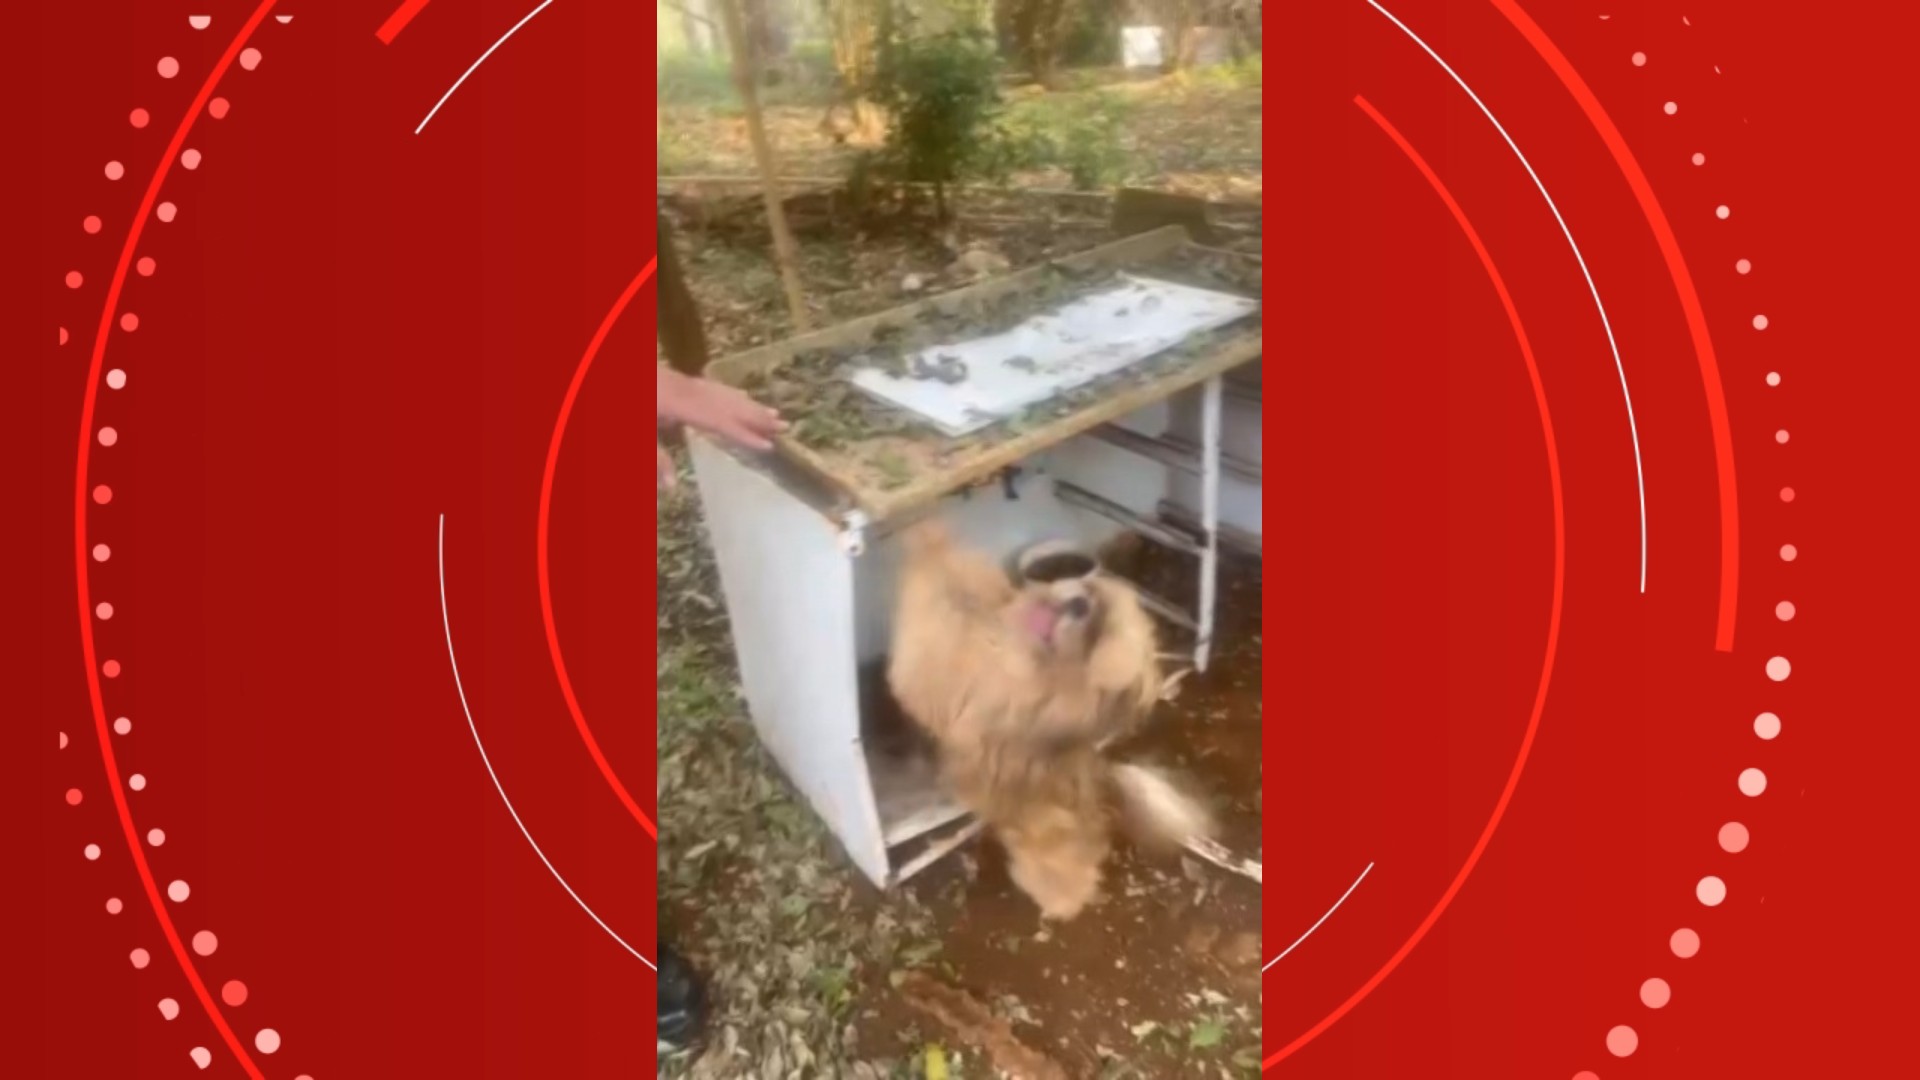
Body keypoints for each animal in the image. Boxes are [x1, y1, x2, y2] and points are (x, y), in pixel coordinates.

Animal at [887, 522, 1213, 914]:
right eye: (1096, 600)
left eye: (1094, 640)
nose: (1079, 602)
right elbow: (964, 573)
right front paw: (928, 530)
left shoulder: (945, 658)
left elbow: (935, 591)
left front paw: (925, 539)